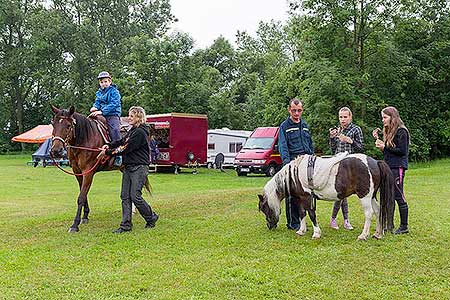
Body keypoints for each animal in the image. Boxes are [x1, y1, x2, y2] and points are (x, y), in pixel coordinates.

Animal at [258, 154, 396, 240]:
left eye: (264, 208)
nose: (270, 226)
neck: (294, 175)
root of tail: (375, 162)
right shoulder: (301, 199)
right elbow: (302, 213)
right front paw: (301, 231)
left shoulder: (307, 198)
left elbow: (311, 214)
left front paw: (316, 233)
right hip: (372, 196)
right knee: (378, 211)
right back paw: (377, 234)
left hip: (365, 196)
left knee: (369, 213)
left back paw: (363, 235)